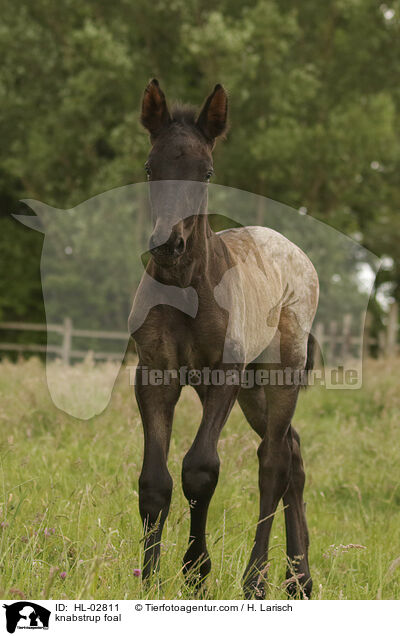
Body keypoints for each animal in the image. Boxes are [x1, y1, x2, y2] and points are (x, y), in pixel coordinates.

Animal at [129, 78, 318, 596]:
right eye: (151, 167)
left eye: (207, 172)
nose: (167, 245)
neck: (187, 291)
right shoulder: (154, 376)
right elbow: (154, 480)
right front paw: (148, 581)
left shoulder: (223, 376)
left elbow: (199, 469)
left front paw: (196, 572)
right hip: (253, 390)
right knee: (293, 453)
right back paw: (300, 580)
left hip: (279, 374)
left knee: (273, 461)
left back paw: (257, 580)